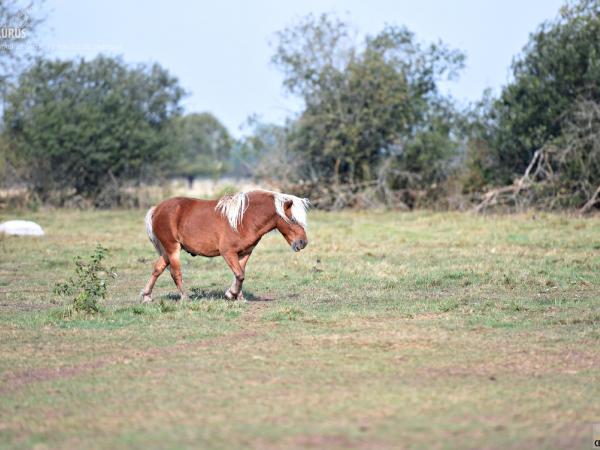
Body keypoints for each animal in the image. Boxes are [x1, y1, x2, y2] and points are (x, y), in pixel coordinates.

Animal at [141, 190, 310, 302]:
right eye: (293, 219)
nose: (303, 242)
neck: (245, 219)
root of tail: (157, 209)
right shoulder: (227, 252)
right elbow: (240, 275)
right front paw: (231, 294)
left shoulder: (244, 253)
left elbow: (240, 274)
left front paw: (239, 297)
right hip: (172, 248)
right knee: (175, 273)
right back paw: (185, 297)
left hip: (166, 251)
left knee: (157, 269)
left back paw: (146, 296)